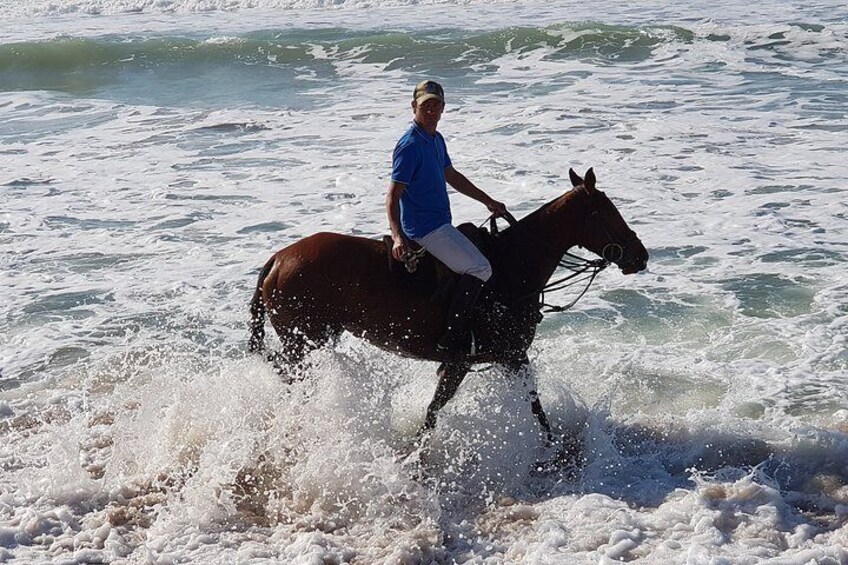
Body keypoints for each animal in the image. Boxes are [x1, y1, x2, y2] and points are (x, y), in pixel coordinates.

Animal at [248, 167, 644, 440]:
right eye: (606, 212)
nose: (640, 256)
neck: (512, 267)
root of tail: (277, 259)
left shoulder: (510, 356)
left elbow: (534, 407)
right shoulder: (468, 360)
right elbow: (436, 411)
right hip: (302, 341)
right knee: (287, 371)